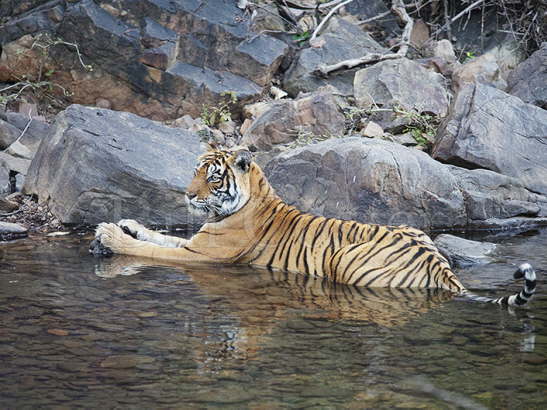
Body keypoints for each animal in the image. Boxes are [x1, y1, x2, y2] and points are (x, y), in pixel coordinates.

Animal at [92, 145, 536, 308]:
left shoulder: (202, 256)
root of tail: (441, 268)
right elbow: (159, 235)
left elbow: (153, 249)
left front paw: (112, 234)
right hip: (414, 231)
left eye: (213, 178)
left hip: (343, 260)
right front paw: (127, 222)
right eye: (195, 171)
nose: (187, 195)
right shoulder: (196, 243)